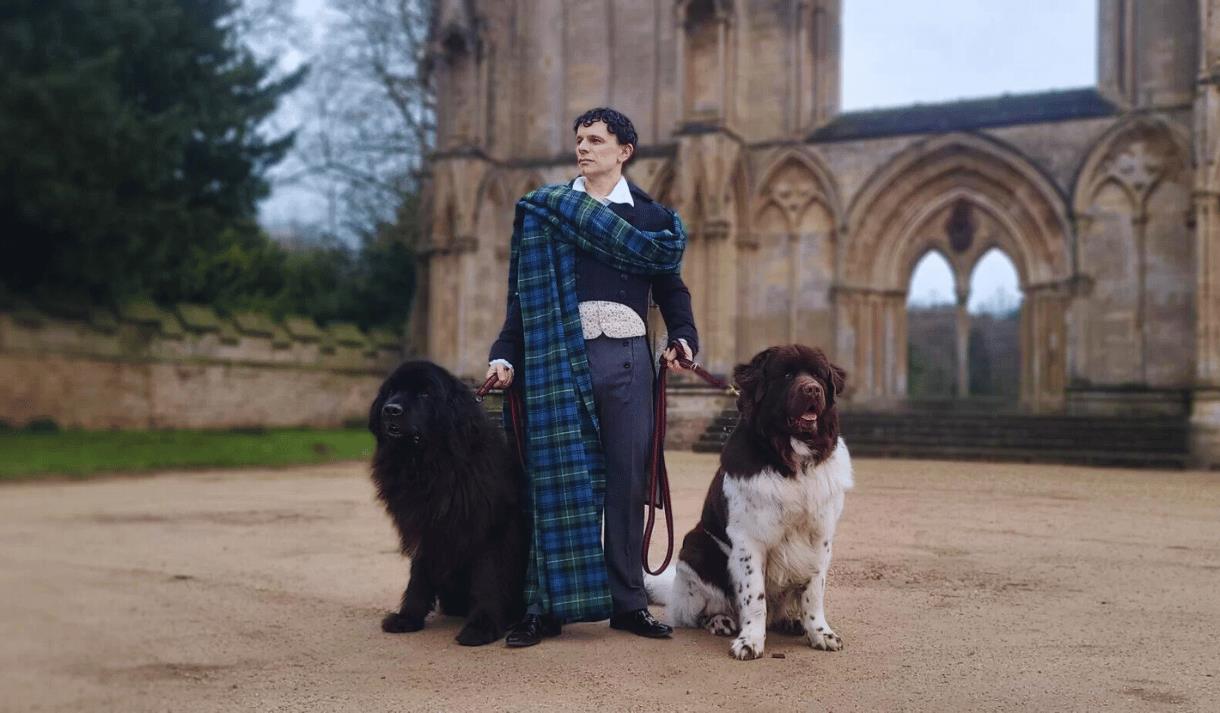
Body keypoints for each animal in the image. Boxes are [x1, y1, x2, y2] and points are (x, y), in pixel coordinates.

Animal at [368, 361, 527, 644]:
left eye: (424, 393)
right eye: (392, 391)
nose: (391, 409)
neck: (431, 465)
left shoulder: (490, 529)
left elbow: (488, 577)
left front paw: (481, 626)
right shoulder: (425, 526)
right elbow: (418, 576)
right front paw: (407, 617)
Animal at [644, 341, 854, 659]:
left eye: (818, 375)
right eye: (787, 374)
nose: (812, 389)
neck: (791, 459)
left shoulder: (820, 537)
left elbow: (814, 591)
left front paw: (820, 633)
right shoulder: (749, 540)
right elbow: (754, 596)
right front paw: (750, 641)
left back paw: (790, 621)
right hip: (694, 548)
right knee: (695, 612)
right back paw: (720, 620)